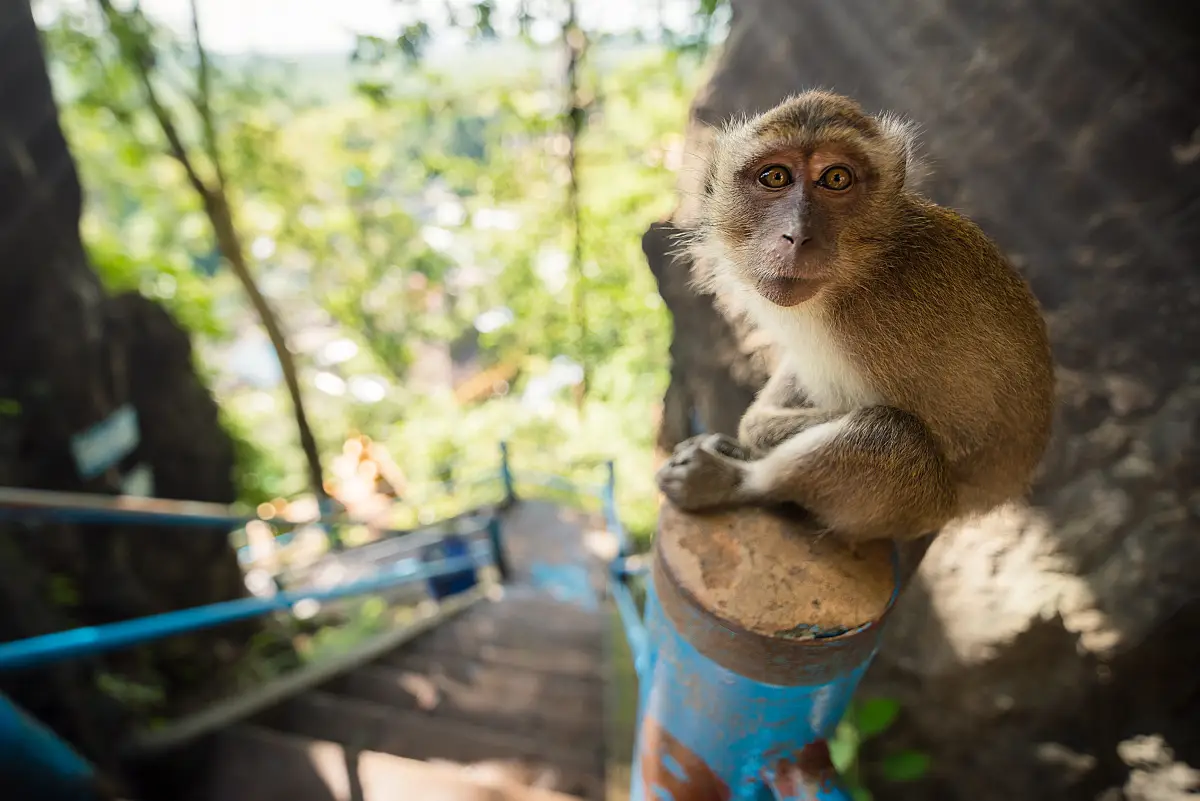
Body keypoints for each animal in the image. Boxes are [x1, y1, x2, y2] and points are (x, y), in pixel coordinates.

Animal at [655, 90, 1055, 544]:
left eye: (835, 179)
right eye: (775, 177)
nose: (797, 235)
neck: (863, 272)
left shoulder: (890, 324)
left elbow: (953, 439)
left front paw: (753, 435)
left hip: (920, 512)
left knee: (895, 436)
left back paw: (735, 482)